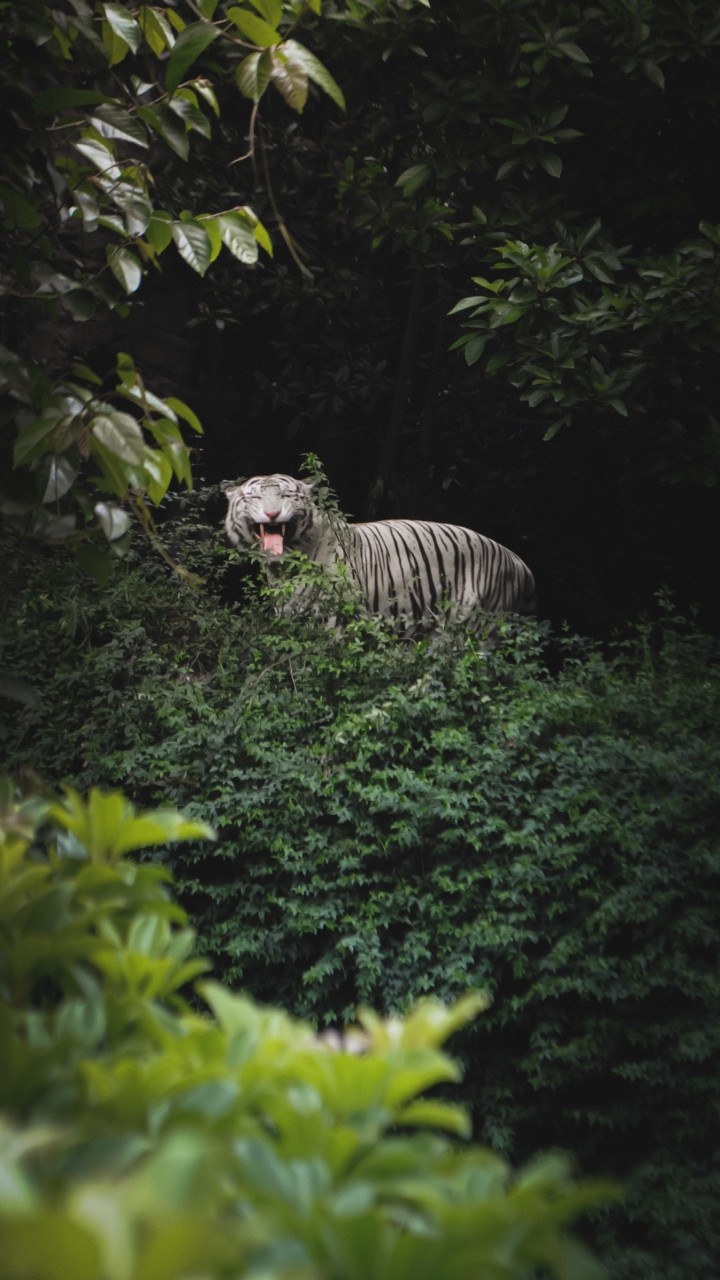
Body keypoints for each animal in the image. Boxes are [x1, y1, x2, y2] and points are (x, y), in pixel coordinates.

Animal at [224, 473, 536, 630]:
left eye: (286, 496)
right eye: (255, 496)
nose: (272, 513)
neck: (283, 567)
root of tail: (519, 562)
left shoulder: (333, 616)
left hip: (475, 623)